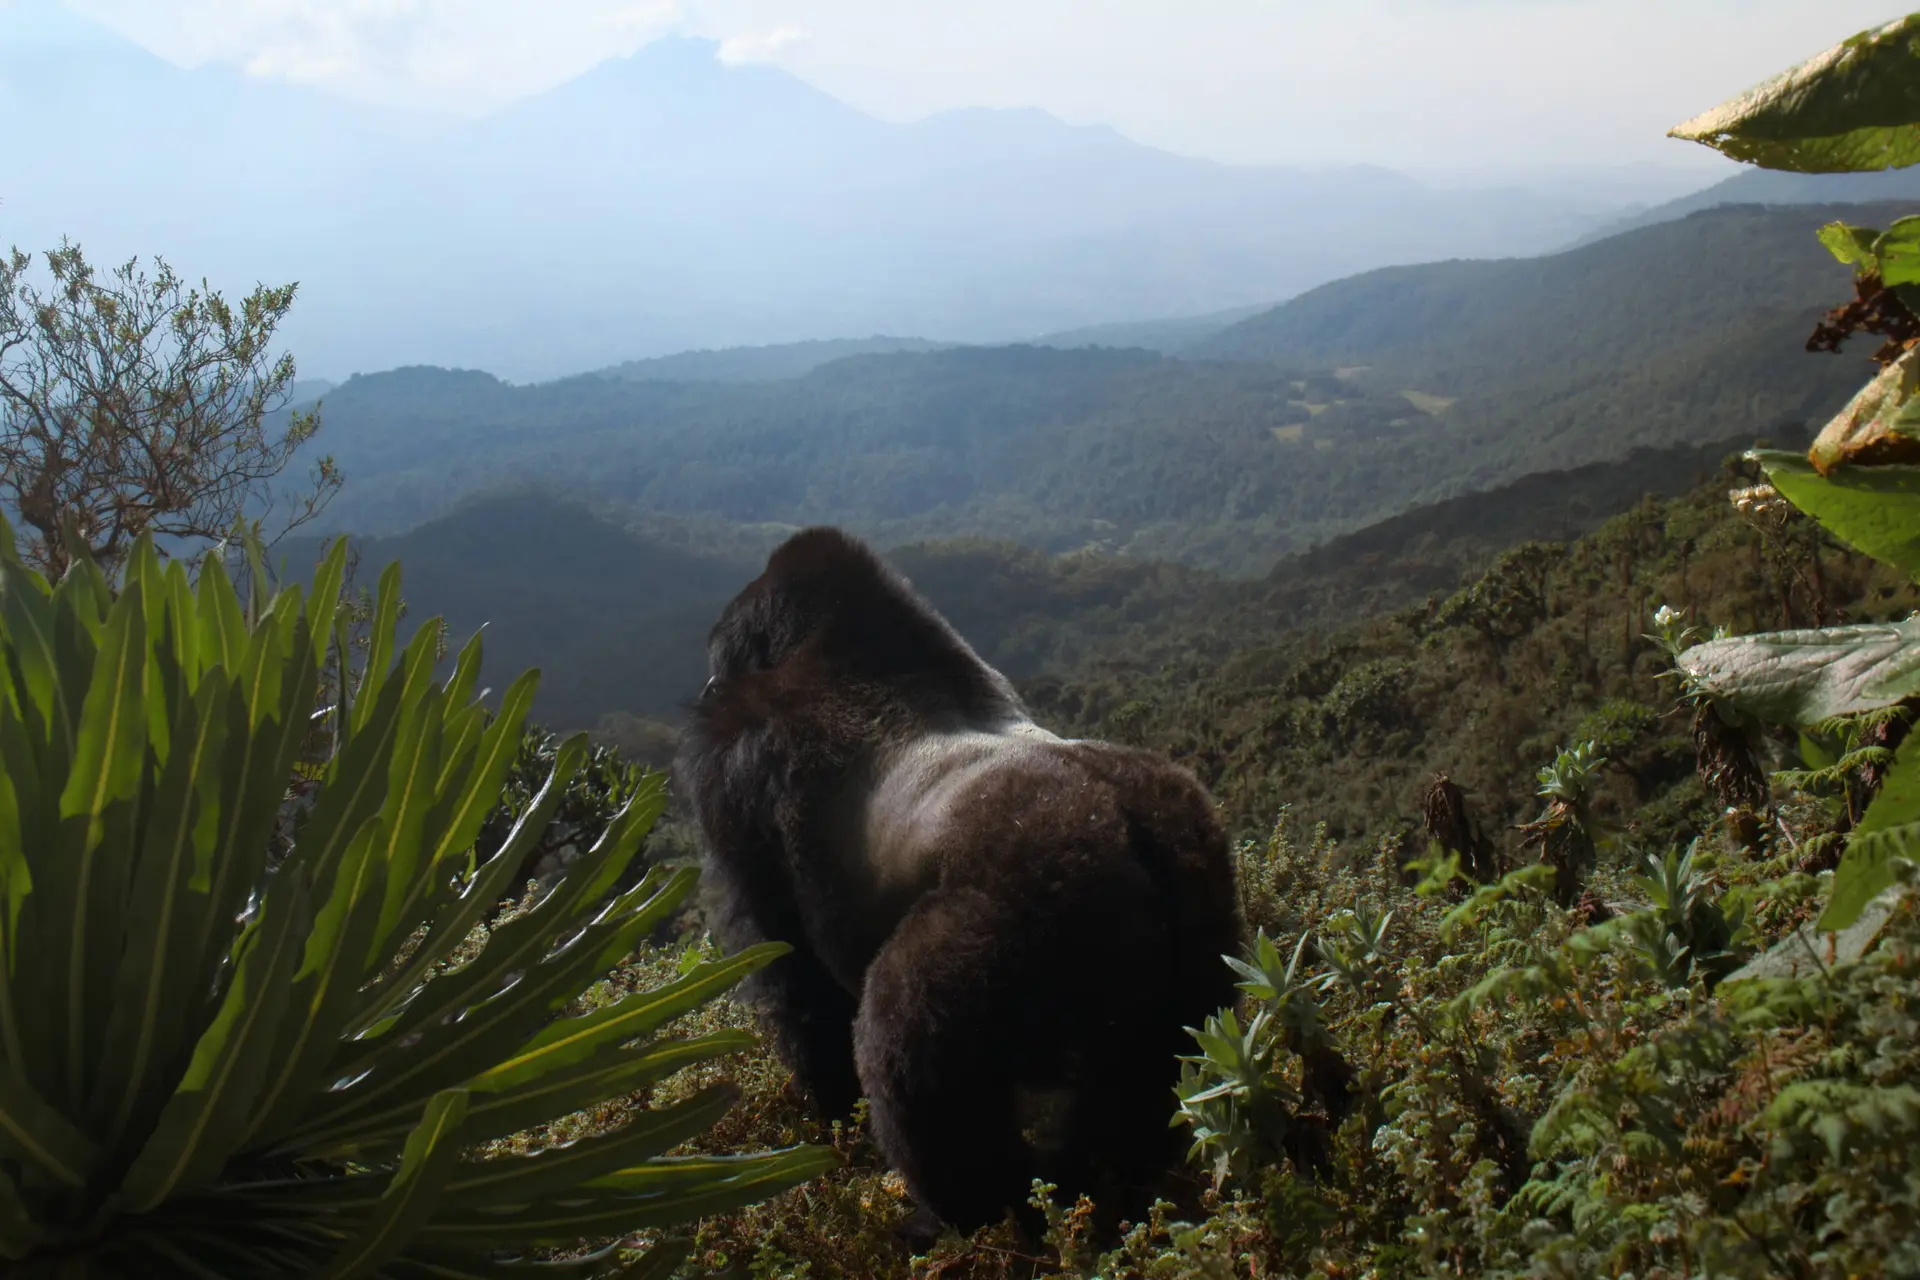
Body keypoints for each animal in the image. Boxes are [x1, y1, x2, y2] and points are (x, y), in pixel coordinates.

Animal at [675, 527, 1240, 1235]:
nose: (705, 686)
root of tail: (1132, 823)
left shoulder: (734, 764)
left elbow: (794, 975)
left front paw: (830, 1119)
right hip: (1203, 892)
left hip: (1023, 905)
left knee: (900, 1035)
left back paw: (959, 1218)